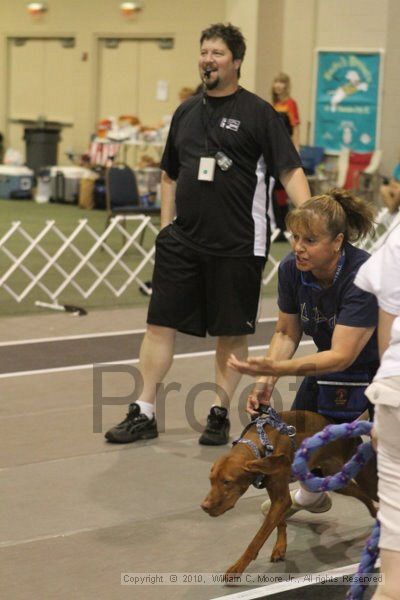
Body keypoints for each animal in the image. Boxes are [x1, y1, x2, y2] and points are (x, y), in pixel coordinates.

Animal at [202, 410, 376, 576]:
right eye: (211, 480)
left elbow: (258, 538)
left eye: (227, 482)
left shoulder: (281, 498)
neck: (262, 445)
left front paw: (238, 567)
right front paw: (280, 547)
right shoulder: (277, 496)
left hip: (360, 477)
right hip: (335, 481)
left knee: (370, 494)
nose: (204, 507)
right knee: (363, 495)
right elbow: (279, 522)